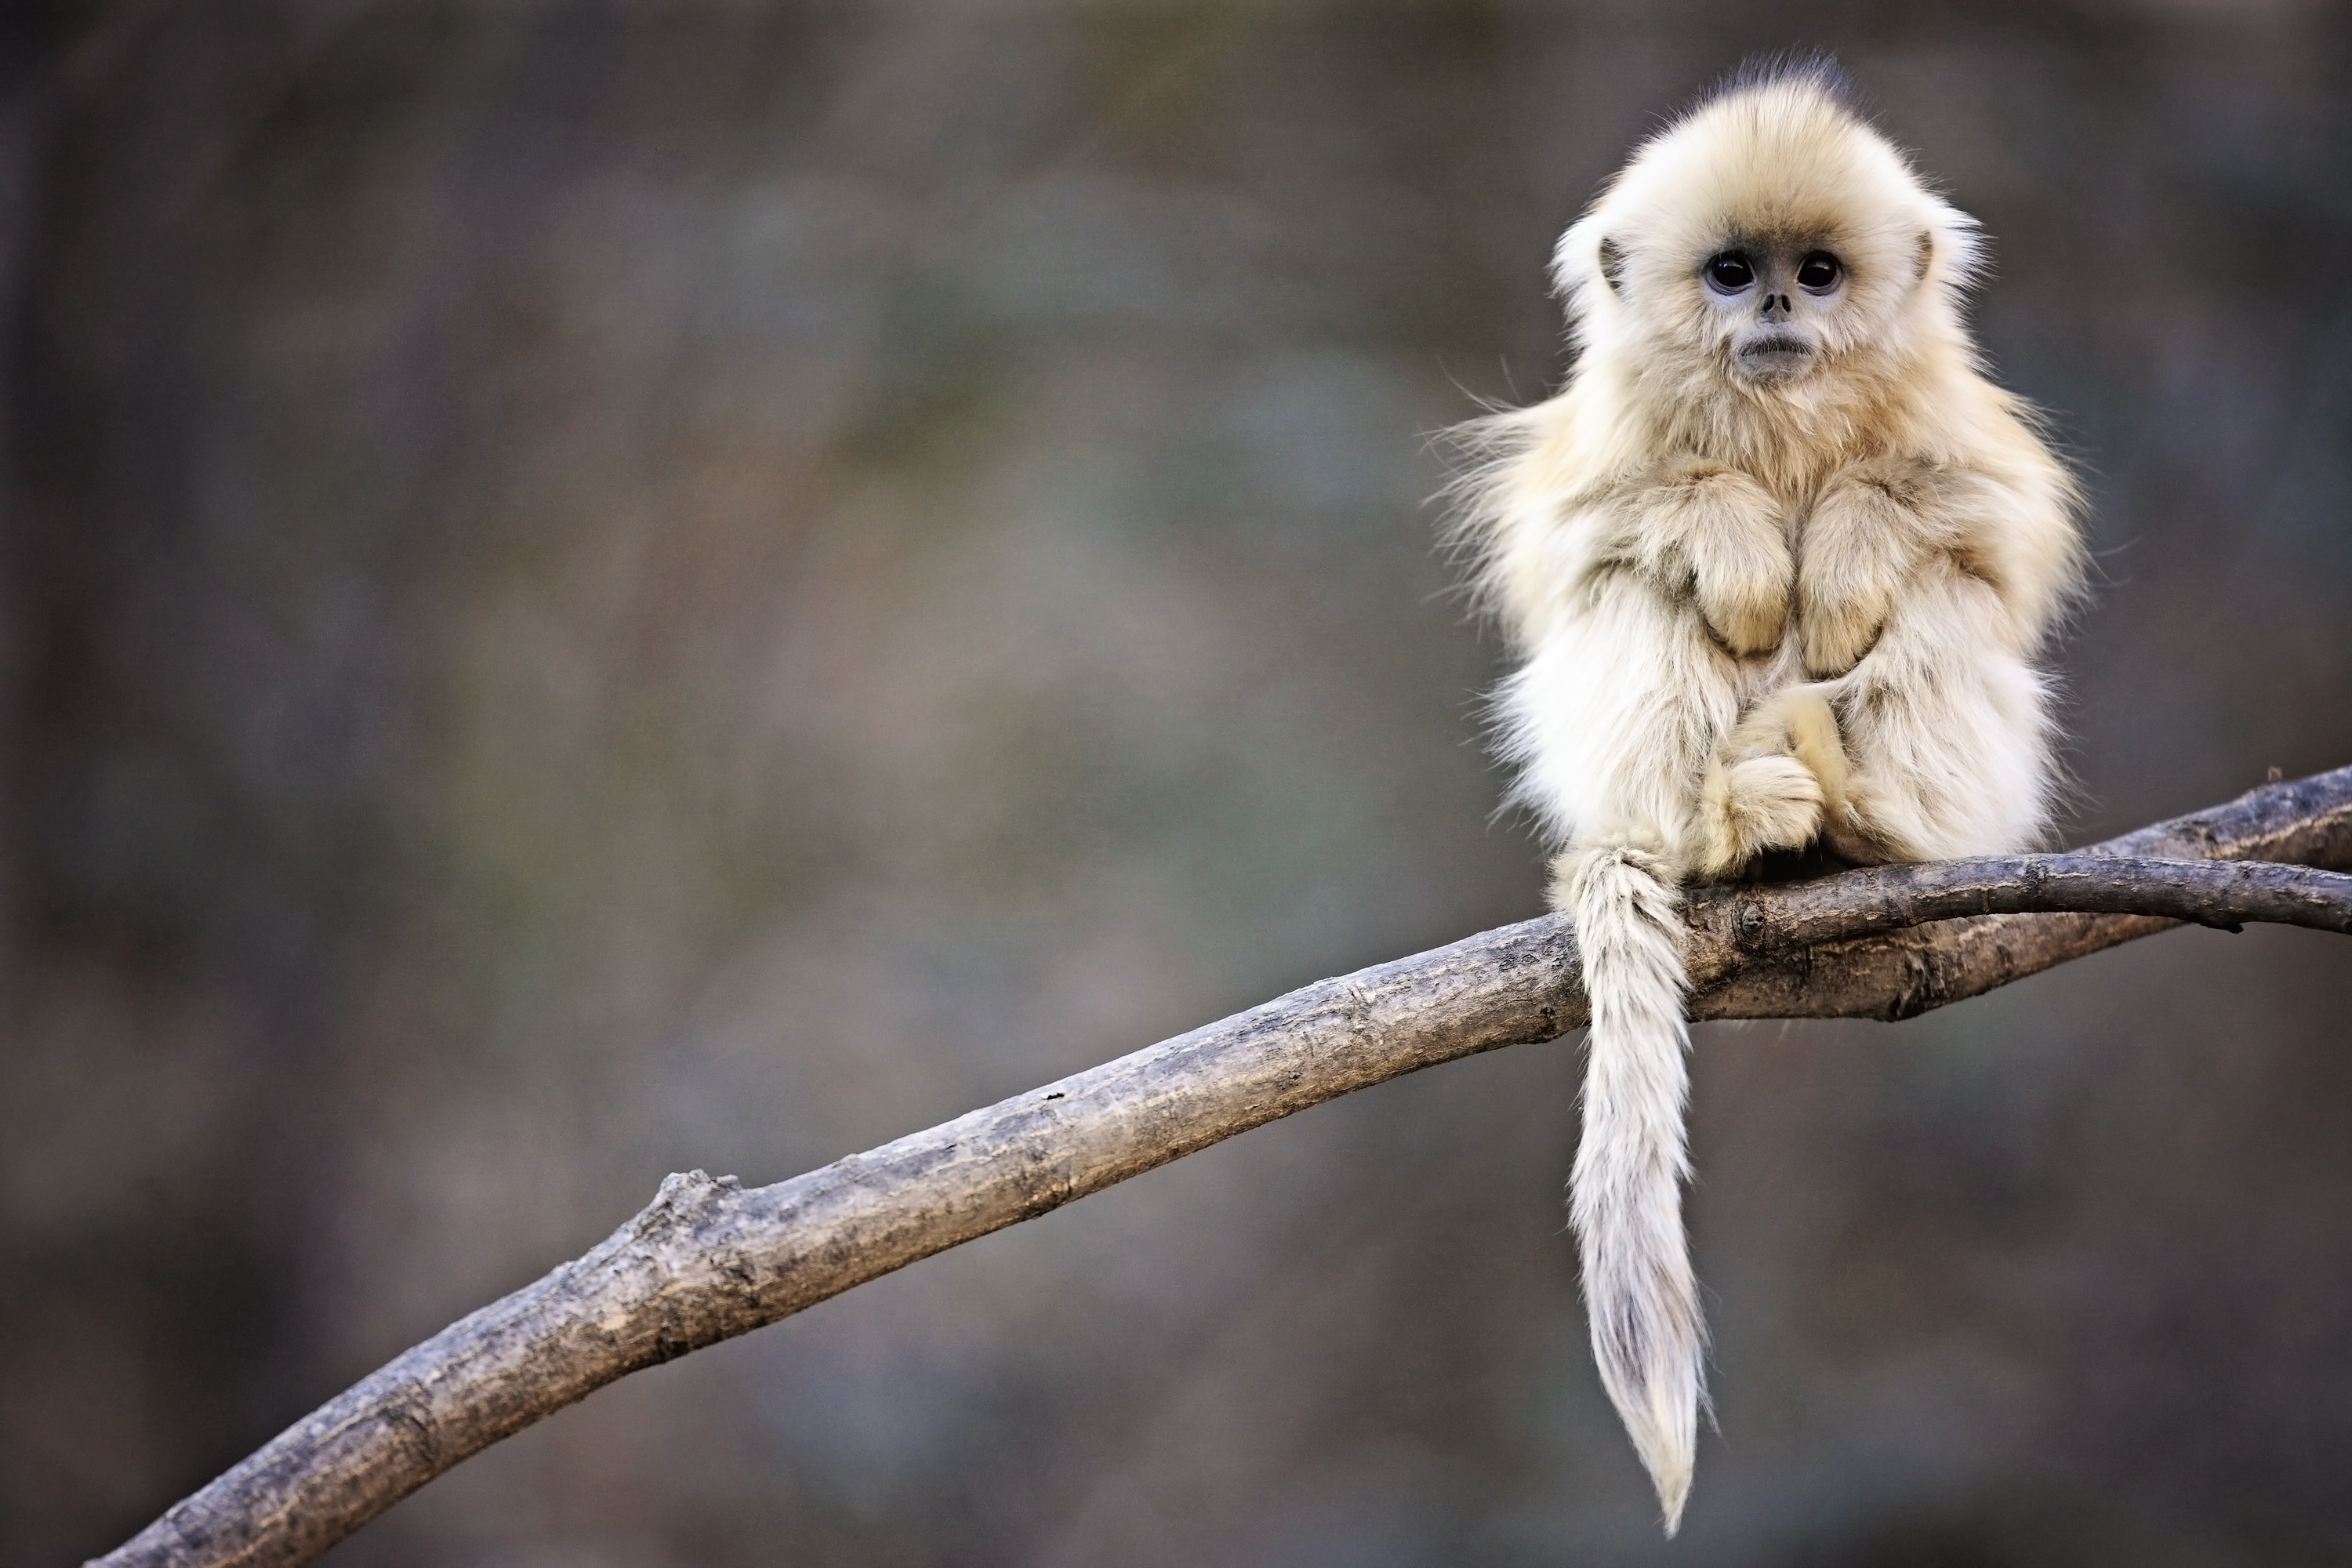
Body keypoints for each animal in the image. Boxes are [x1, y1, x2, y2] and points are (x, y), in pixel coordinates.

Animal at [1450, 58, 2083, 1533]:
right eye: (1732, 272)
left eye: (1820, 271)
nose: (1781, 311)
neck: (1783, 420)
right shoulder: (1600, 450)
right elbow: (1588, 539)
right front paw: (1741, 546)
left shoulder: (1963, 433)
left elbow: (1992, 529)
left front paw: (1842, 554)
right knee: (1635, 594)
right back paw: (1727, 828)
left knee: (1944, 594)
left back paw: (1861, 819)